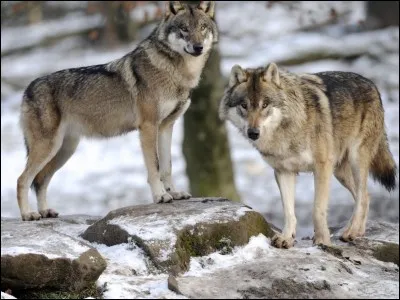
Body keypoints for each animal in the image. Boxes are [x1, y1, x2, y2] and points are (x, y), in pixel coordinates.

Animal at [16, 1, 219, 221]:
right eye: (184, 28)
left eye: (202, 27)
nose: (198, 47)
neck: (177, 73)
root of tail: (27, 89)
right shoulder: (148, 127)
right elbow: (155, 166)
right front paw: (160, 196)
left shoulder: (166, 127)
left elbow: (167, 166)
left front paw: (174, 193)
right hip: (48, 148)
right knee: (23, 180)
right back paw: (28, 214)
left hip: (64, 150)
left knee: (41, 180)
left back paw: (45, 211)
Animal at [219, 62, 396, 247]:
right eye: (244, 106)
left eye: (265, 105)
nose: (253, 133)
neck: (287, 131)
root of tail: (371, 83)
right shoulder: (284, 171)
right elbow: (288, 211)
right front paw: (286, 238)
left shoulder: (322, 167)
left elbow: (318, 209)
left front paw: (322, 241)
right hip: (340, 172)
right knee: (366, 196)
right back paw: (357, 231)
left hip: (355, 160)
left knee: (362, 196)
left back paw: (352, 232)